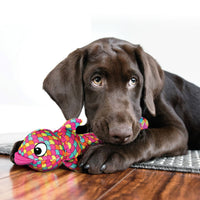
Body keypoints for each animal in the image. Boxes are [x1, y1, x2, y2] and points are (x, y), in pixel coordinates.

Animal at [10, 37, 200, 173]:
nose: (121, 134)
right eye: (97, 80)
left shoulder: (177, 130)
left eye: (133, 81)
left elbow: (147, 135)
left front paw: (109, 151)